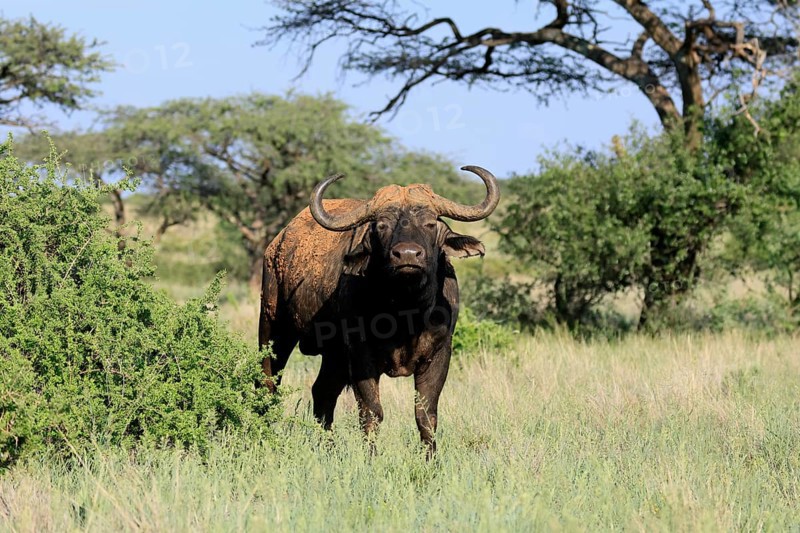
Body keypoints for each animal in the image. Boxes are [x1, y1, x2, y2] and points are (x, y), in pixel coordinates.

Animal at [259, 166, 499, 455]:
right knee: (269, 384)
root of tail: (276, 244)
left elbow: (426, 415)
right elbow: (371, 412)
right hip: (273, 328)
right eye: (382, 226)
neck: (406, 314)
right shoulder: (361, 355)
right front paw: (371, 457)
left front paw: (430, 459)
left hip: (333, 355)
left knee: (322, 392)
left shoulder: (440, 354)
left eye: (430, 224)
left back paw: (327, 447)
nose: (407, 255)